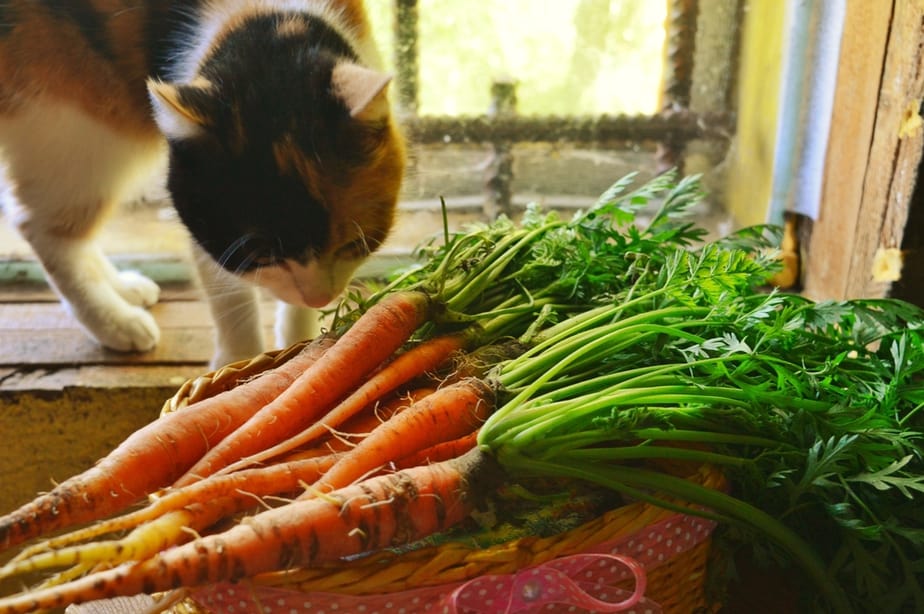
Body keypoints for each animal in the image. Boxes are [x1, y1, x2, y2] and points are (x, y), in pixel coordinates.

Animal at [0, 0, 404, 366]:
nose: (319, 298)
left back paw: (125, 289)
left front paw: (301, 343)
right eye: (259, 256)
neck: (260, 15)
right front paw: (238, 365)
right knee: (40, 228)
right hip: (83, 127)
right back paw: (116, 322)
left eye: (353, 244)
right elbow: (230, 301)